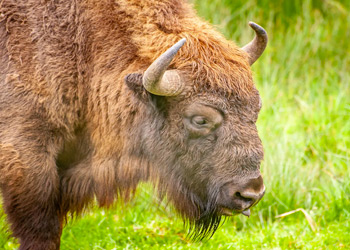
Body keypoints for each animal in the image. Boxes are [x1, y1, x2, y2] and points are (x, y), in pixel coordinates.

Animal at [0, 0, 268, 249]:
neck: (82, 51)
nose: (250, 194)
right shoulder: (28, 156)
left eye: (256, 108)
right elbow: (42, 229)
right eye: (200, 119)